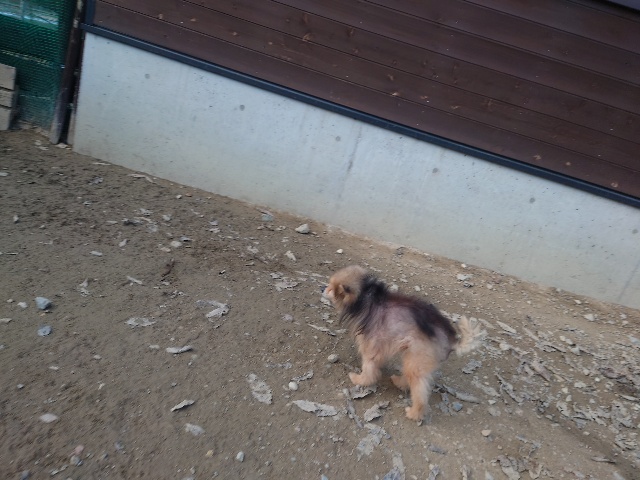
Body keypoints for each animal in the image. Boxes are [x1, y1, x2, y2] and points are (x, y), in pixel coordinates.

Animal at [323, 265, 484, 421]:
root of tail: (453, 341)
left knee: (420, 392)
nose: (323, 288)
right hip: (414, 358)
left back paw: (414, 413)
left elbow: (368, 367)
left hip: (417, 357)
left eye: (331, 288)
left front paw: (361, 380)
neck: (366, 297)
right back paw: (399, 382)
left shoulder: (371, 343)